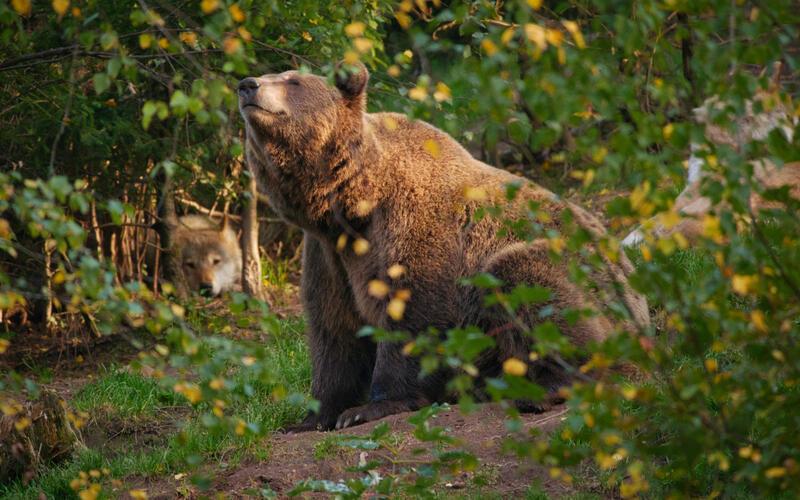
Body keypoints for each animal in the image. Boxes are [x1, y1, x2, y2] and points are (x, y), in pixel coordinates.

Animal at [238, 62, 649, 431]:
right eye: (275, 73)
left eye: (292, 80)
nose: (247, 84)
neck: (354, 203)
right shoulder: (330, 255)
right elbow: (334, 329)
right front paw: (314, 415)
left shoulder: (414, 230)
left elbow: (414, 313)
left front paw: (371, 406)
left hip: (579, 275)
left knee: (528, 285)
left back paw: (542, 388)